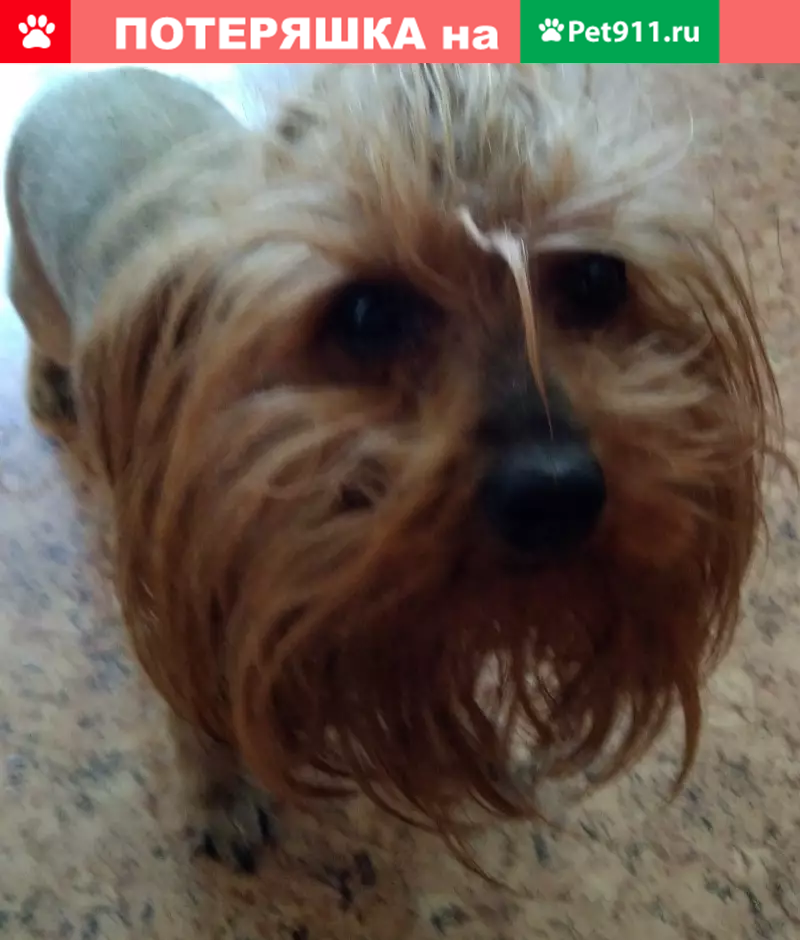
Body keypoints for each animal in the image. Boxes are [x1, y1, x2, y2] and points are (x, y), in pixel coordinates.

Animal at [4, 64, 788, 873]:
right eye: (365, 315)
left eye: (597, 279)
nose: (557, 494)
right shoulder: (188, 596)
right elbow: (198, 721)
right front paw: (219, 794)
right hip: (32, 290)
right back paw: (52, 382)